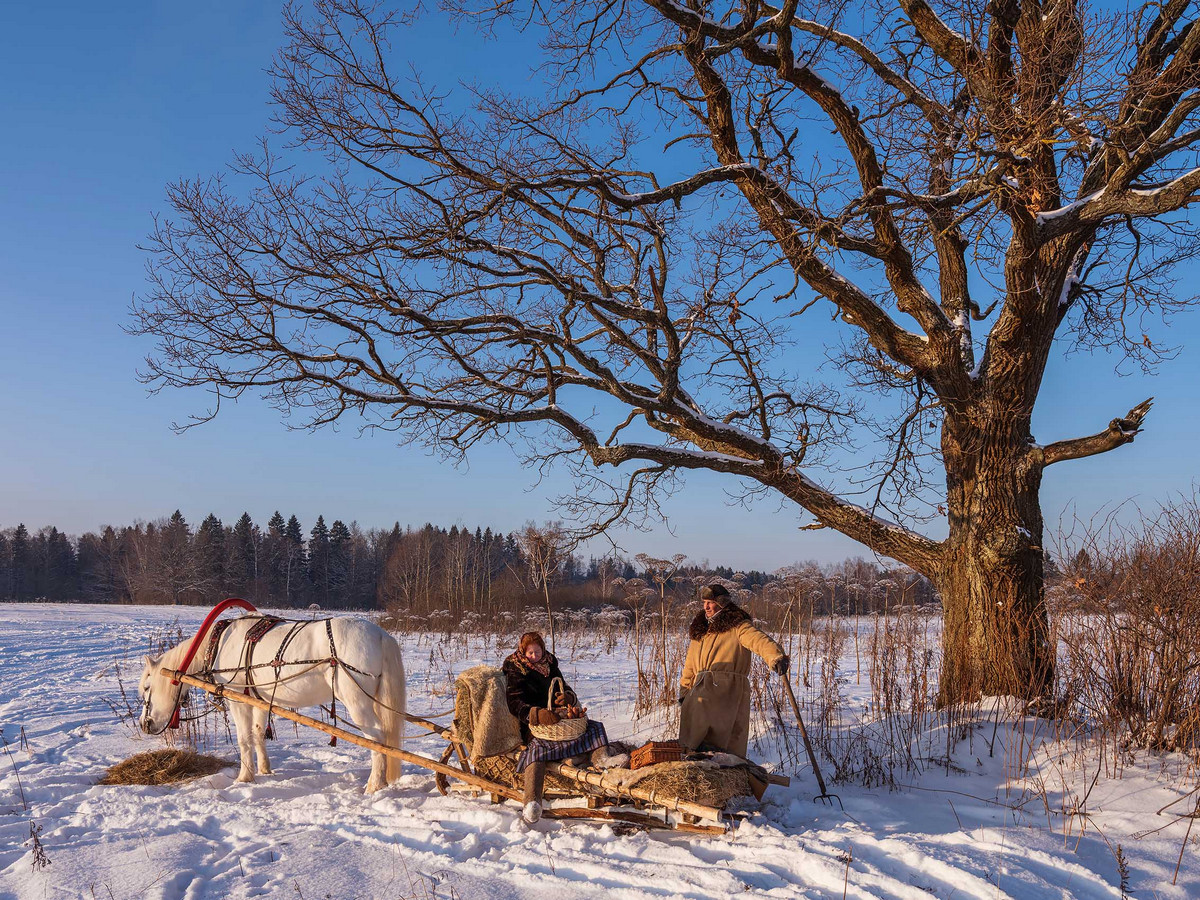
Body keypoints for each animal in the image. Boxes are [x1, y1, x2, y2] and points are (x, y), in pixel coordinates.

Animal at [138, 619, 405, 792]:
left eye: (147, 688)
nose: (144, 724)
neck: (219, 643)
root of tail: (381, 636)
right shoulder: (260, 699)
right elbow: (258, 734)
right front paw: (265, 770)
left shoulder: (238, 697)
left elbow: (244, 738)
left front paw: (244, 777)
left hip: (357, 700)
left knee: (377, 738)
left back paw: (374, 785)